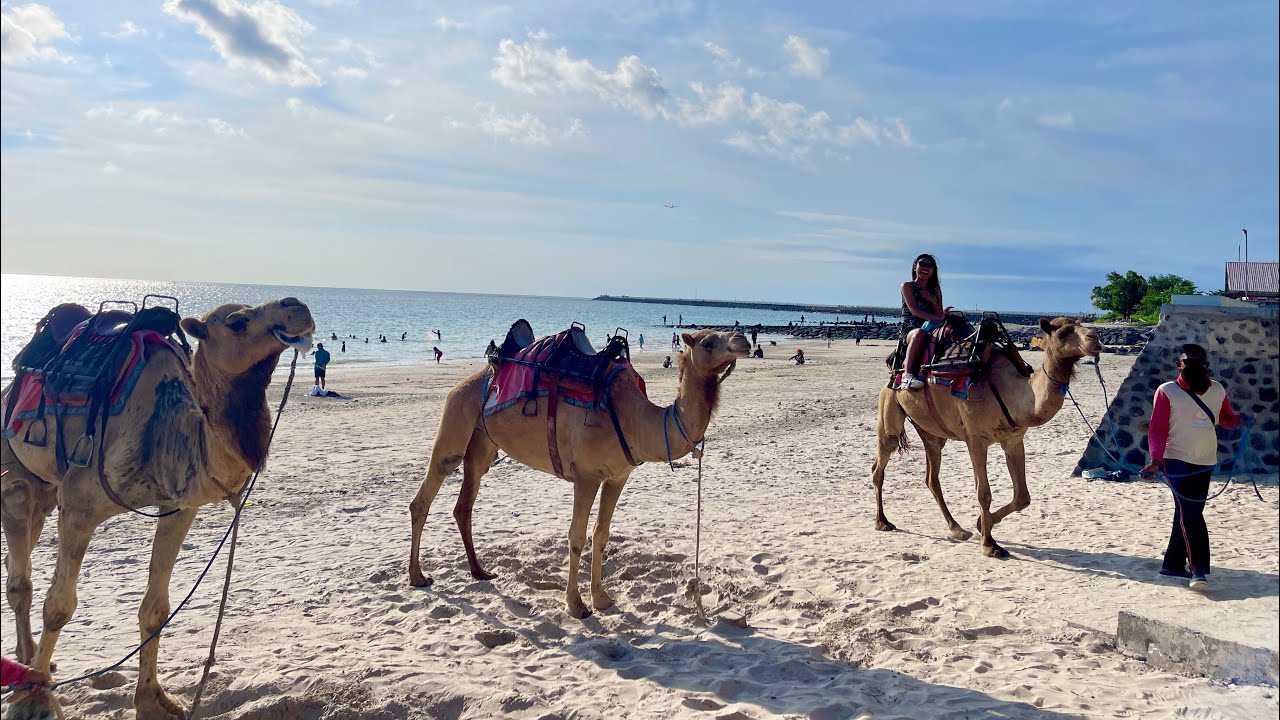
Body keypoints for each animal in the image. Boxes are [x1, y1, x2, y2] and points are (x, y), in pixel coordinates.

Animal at [2, 298, 314, 720]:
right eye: (237, 321)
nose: (296, 306)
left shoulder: (178, 507)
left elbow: (156, 608)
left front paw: (153, 699)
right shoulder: (79, 504)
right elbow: (59, 607)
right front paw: (34, 704)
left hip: (44, 489)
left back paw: (31, 659)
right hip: (16, 474)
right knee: (21, 578)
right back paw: (29, 672)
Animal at [409, 329, 751, 618]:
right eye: (708, 342)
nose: (743, 339)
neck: (635, 419)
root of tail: (465, 382)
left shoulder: (618, 476)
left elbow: (601, 535)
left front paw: (602, 598)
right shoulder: (586, 477)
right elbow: (576, 536)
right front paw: (576, 605)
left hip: (482, 444)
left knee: (464, 504)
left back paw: (479, 571)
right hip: (456, 416)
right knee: (425, 495)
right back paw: (418, 576)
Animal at [872, 317, 1102, 558]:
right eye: (1063, 333)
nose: (1095, 339)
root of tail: (893, 369)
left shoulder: (1013, 440)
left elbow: (1023, 497)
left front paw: (981, 524)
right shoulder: (976, 440)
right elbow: (983, 493)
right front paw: (989, 544)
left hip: (932, 433)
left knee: (931, 476)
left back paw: (957, 529)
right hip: (889, 405)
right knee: (879, 465)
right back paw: (882, 522)